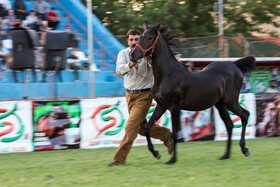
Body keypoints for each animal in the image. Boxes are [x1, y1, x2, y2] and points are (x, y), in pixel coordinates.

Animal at [129, 23, 256, 165]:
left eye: (149, 38)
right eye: (140, 36)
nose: (132, 55)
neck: (167, 75)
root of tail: (234, 65)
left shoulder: (174, 107)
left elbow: (174, 133)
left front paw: (172, 159)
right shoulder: (161, 106)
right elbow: (147, 127)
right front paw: (156, 153)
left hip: (231, 102)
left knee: (245, 115)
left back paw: (244, 149)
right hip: (220, 104)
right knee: (229, 125)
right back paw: (225, 155)